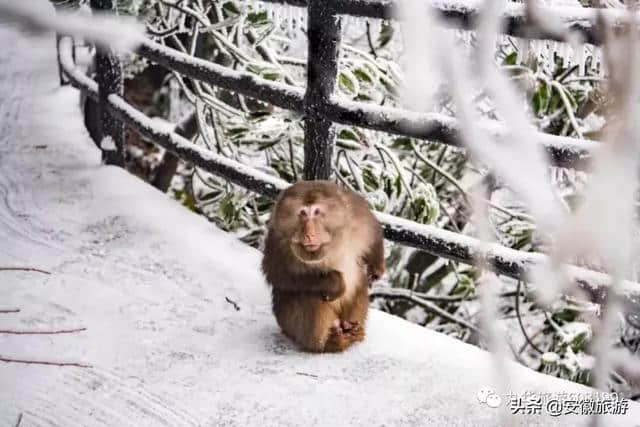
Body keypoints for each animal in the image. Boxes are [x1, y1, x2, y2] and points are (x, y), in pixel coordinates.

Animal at [262, 181, 384, 354]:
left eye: (317, 212)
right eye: (302, 213)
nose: (309, 234)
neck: (333, 243)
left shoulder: (357, 215)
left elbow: (374, 233)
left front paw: (377, 267)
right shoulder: (277, 238)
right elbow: (277, 273)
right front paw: (336, 283)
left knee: (360, 284)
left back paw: (353, 332)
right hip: (288, 325)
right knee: (308, 294)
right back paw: (327, 343)